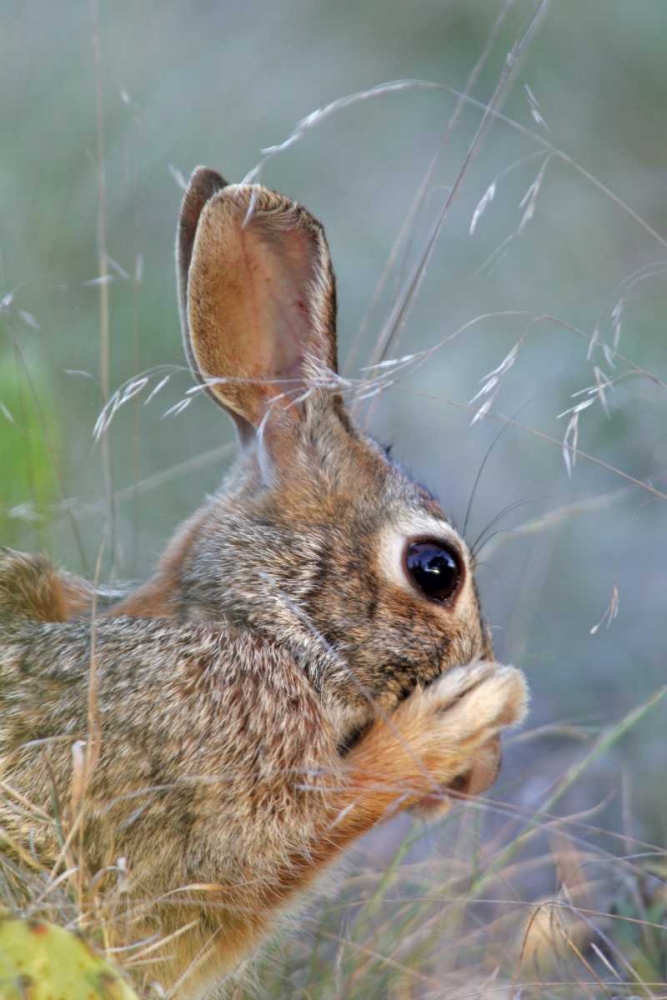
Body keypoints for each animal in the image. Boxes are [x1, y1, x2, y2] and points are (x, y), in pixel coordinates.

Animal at [0, 167, 528, 999]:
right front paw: (463, 715)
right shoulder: (215, 791)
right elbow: (320, 815)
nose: (481, 778)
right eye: (435, 569)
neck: (252, 620)